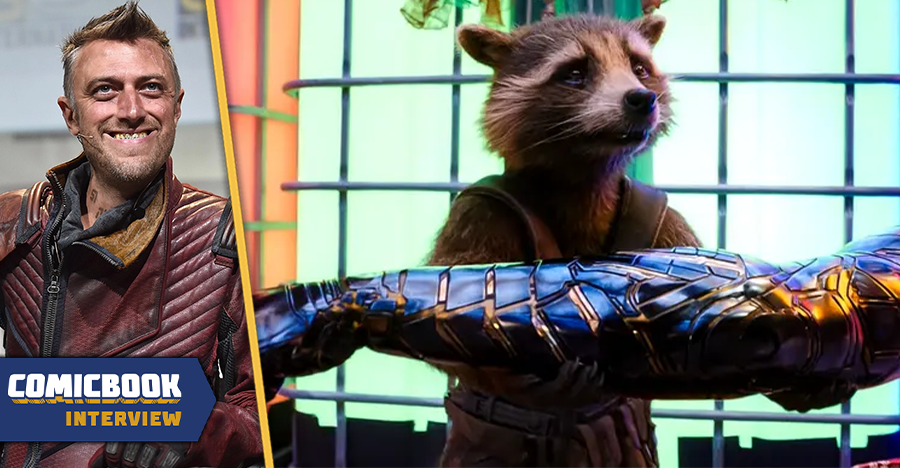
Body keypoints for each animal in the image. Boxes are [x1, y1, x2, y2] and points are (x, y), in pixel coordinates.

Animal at [427, 13, 702, 468]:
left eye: (639, 67)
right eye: (574, 73)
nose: (641, 98)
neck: (585, 167)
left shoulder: (666, 219)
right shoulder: (479, 213)